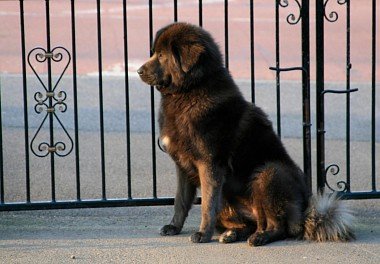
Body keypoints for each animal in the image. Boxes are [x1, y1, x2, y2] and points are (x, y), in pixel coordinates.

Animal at [137, 22, 354, 245]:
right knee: (250, 224)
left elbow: (207, 204)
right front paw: (174, 227)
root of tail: (302, 215)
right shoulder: (182, 166)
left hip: (269, 172)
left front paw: (203, 234)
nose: (138, 71)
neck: (190, 91)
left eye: (161, 55)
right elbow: (180, 201)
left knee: (277, 226)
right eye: (154, 53)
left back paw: (259, 237)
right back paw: (232, 234)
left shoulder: (210, 164)